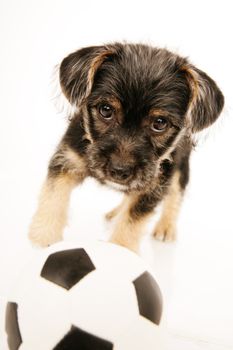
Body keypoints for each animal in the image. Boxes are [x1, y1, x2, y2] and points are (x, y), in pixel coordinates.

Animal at [28, 43, 225, 252]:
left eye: (160, 123)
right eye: (106, 110)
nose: (119, 170)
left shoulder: (153, 185)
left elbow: (131, 221)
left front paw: (121, 250)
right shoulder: (67, 160)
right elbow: (53, 196)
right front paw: (42, 237)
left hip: (179, 166)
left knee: (175, 194)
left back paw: (166, 226)